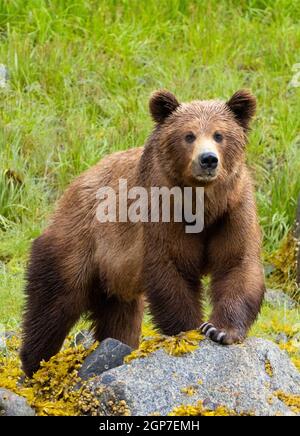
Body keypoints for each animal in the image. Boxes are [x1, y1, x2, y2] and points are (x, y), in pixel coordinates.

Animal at [20, 89, 264, 378]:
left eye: (219, 134)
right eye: (189, 135)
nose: (208, 160)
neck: (203, 206)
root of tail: (73, 186)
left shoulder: (232, 212)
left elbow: (237, 264)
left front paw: (219, 330)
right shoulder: (162, 214)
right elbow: (171, 268)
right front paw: (189, 328)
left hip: (116, 277)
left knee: (120, 319)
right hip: (79, 242)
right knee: (53, 304)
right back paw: (35, 363)